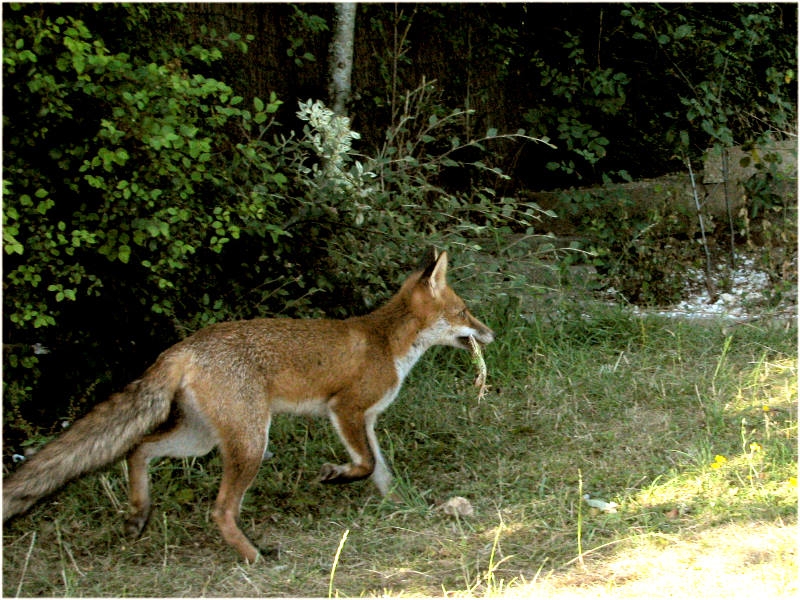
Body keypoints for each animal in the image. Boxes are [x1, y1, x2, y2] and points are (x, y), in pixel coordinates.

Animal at [3, 249, 495, 563]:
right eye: (464, 312)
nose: (489, 334)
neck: (387, 343)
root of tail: (183, 347)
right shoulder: (345, 410)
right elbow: (365, 465)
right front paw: (335, 476)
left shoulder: (365, 421)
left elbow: (381, 472)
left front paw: (404, 505)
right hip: (251, 442)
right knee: (220, 509)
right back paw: (253, 555)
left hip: (200, 439)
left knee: (137, 448)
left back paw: (139, 514)